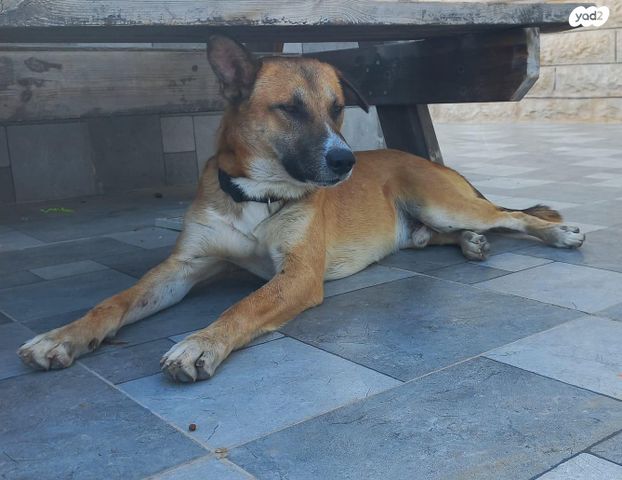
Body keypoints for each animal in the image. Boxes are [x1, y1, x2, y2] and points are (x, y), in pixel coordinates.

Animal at [18, 35, 585, 382]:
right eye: (289, 108)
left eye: (337, 109)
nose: (346, 161)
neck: (257, 194)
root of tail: (420, 158)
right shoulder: (183, 267)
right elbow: (113, 302)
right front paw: (62, 337)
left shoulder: (298, 274)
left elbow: (243, 306)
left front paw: (201, 343)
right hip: (425, 224)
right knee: (441, 235)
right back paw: (471, 245)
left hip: (442, 202)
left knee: (516, 217)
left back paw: (557, 233)